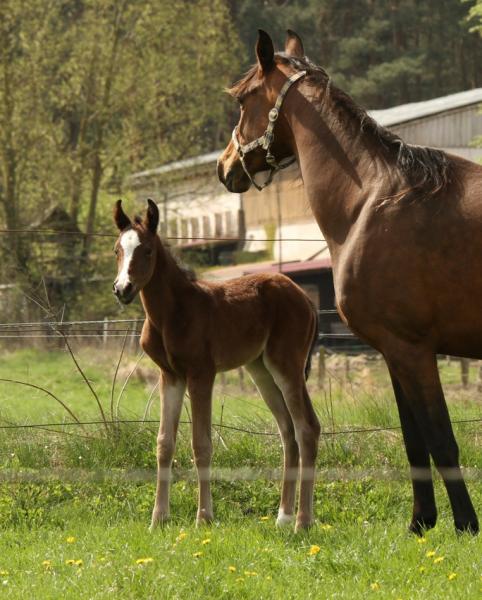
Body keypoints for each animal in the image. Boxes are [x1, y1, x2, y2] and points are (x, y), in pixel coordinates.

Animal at [112, 198, 320, 528]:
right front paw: (158, 519)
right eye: (117, 250)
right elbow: (164, 444)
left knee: (306, 428)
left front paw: (204, 517)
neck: (171, 314)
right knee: (288, 431)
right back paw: (283, 517)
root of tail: (304, 297)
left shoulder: (201, 374)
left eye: (147, 251)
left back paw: (303, 522)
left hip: (287, 366)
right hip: (261, 370)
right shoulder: (170, 375)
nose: (123, 289)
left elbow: (201, 444)